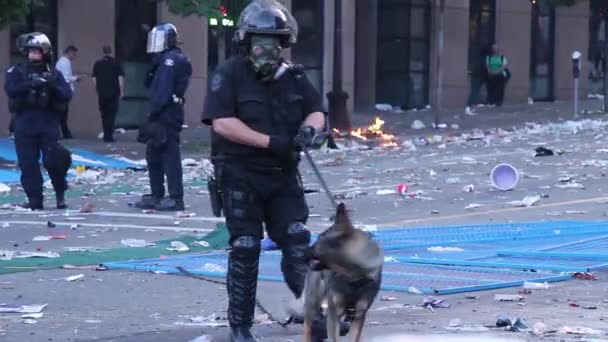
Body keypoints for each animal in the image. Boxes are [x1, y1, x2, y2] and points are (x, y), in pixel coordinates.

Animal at [300, 204, 384, 340]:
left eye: (319, 239)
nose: (302, 251)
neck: (353, 277)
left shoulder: (358, 316)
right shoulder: (333, 316)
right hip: (313, 299)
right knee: (307, 326)